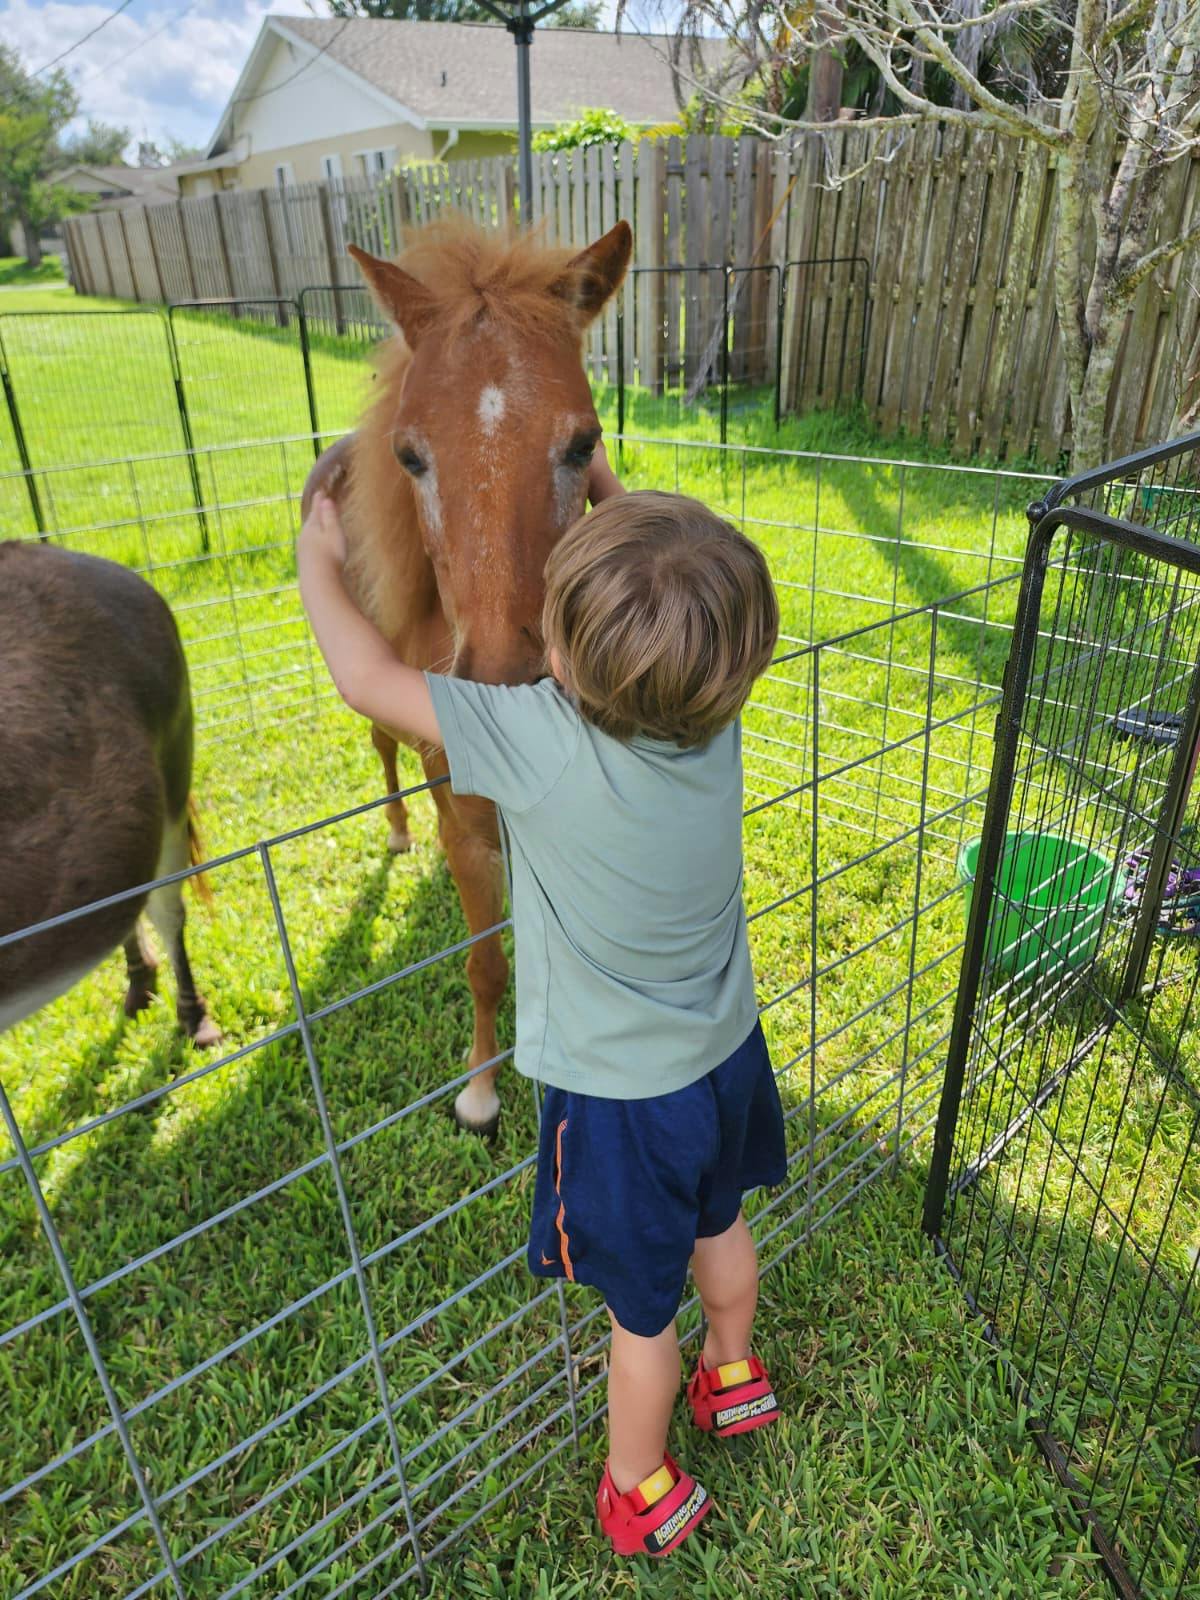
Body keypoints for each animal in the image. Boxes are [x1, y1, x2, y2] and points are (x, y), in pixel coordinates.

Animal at [302, 217, 631, 1135]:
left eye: (583, 443)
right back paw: (395, 831)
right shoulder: (468, 822)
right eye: (410, 456)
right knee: (381, 752)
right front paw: (481, 1090)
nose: (502, 684)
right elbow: (487, 961)